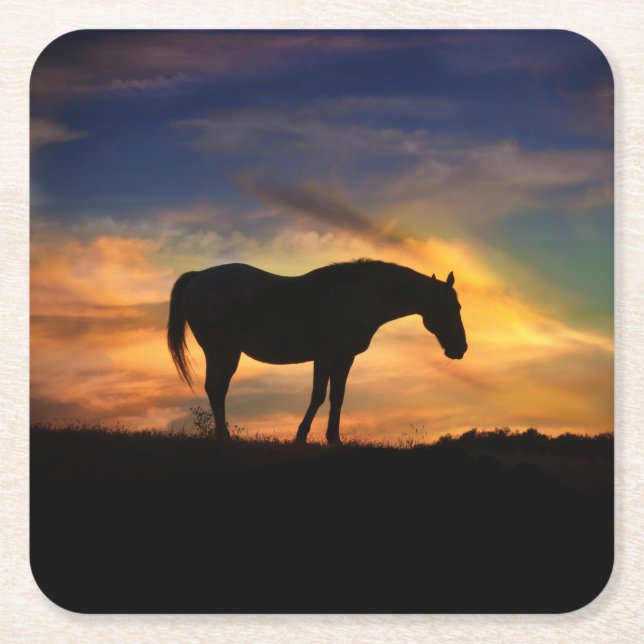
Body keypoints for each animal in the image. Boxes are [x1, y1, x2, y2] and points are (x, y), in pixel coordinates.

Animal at [167, 260, 467, 445]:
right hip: (222, 350)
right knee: (216, 389)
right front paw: (304, 436)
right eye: (451, 308)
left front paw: (332, 439)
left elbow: (336, 397)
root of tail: (197, 277)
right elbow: (320, 396)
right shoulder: (328, 356)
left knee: (216, 389)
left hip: (223, 352)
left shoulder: (342, 358)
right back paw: (224, 438)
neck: (357, 296)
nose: (460, 349)